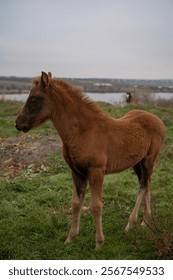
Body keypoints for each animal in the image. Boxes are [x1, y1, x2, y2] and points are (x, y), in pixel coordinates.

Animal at [15, 72, 165, 249]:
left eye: (33, 99)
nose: (18, 123)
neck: (82, 132)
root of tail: (158, 119)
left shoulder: (96, 171)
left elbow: (96, 205)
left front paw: (99, 243)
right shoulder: (77, 172)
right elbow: (76, 203)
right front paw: (70, 238)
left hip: (149, 159)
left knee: (143, 186)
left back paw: (131, 224)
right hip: (137, 163)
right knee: (146, 184)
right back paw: (145, 222)